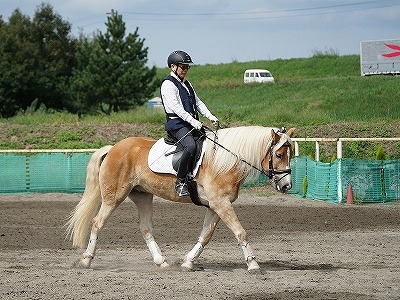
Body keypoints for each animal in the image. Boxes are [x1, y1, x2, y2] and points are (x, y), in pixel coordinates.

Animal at [65, 125, 296, 270]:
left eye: (290, 154)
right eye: (278, 155)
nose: (286, 185)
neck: (225, 161)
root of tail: (113, 148)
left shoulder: (216, 206)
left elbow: (205, 236)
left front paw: (188, 262)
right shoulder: (221, 204)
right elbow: (241, 232)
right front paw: (253, 264)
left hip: (142, 196)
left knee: (146, 228)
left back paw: (162, 262)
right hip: (114, 197)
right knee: (97, 223)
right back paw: (86, 261)